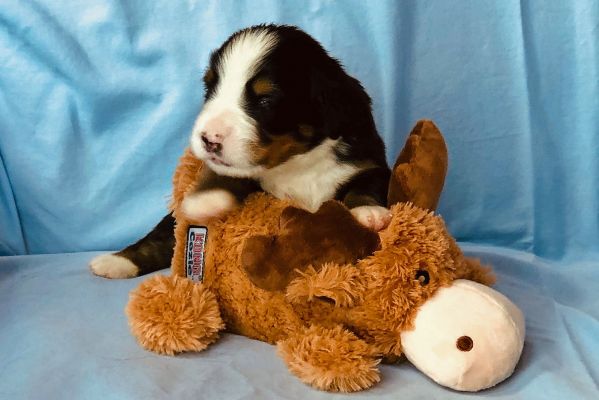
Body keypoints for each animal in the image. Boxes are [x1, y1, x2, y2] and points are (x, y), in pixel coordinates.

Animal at [89, 24, 390, 278]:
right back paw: (114, 262)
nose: (208, 139)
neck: (296, 163)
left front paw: (369, 212)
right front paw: (206, 199)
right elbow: (222, 179)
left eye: (265, 99)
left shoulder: (368, 160)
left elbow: (365, 185)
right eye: (210, 87)